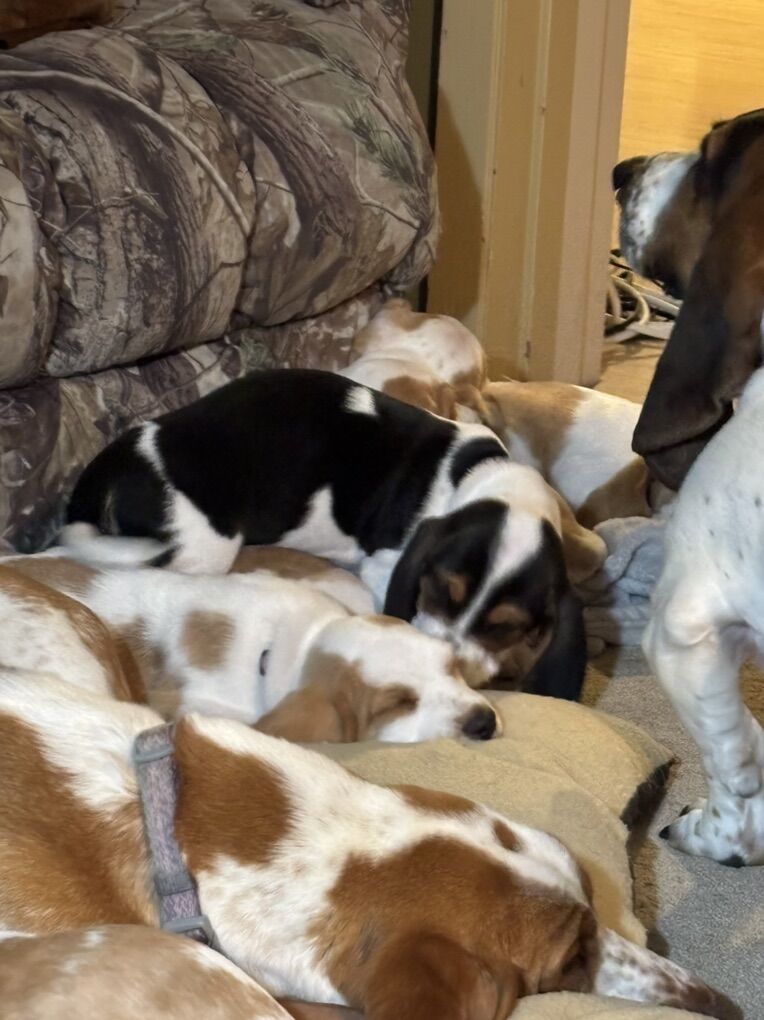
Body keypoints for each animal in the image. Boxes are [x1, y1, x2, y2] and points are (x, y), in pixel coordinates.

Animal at [62, 368, 587, 698]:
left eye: (505, 628)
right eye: (439, 590)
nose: (448, 664)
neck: (483, 477)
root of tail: (117, 461)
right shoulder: (384, 564)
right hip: (204, 546)